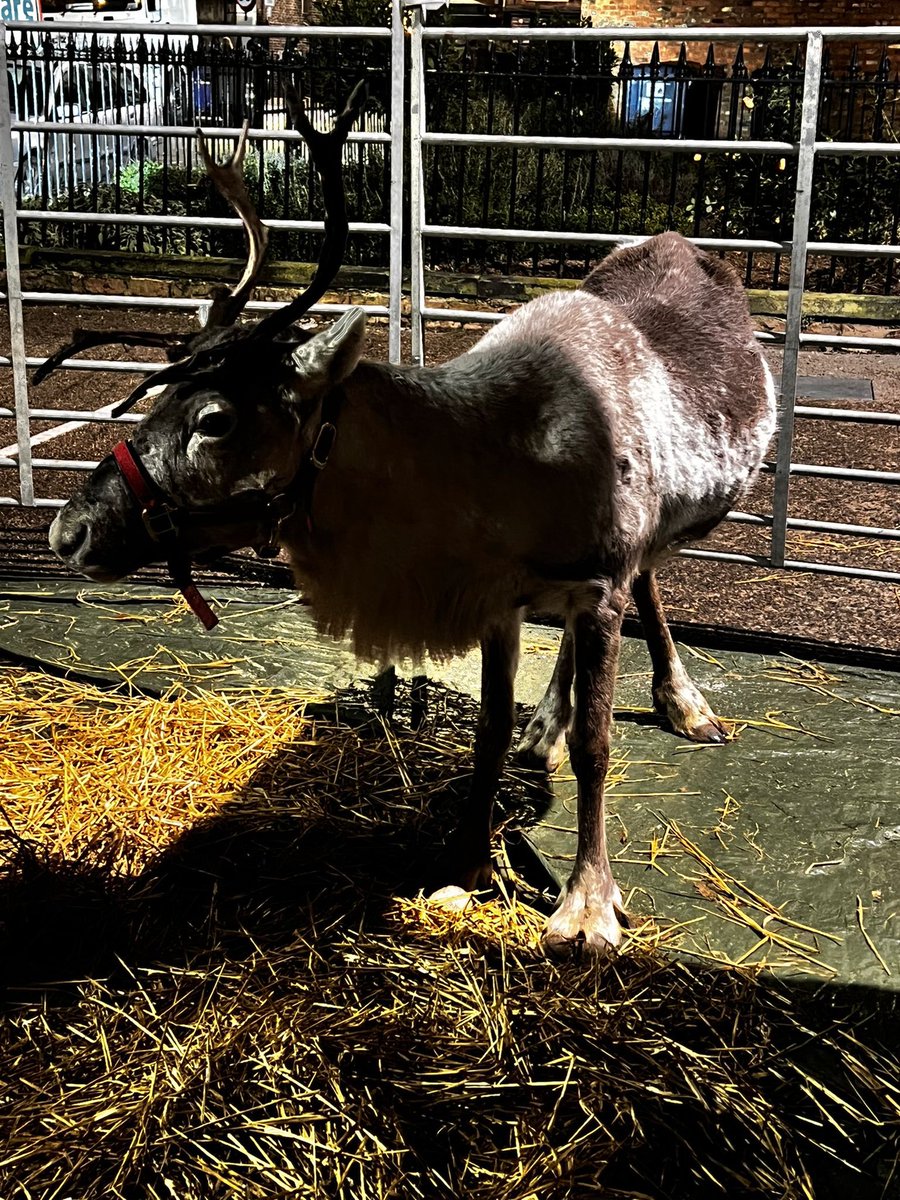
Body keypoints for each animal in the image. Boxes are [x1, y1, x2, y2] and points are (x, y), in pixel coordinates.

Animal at [45, 82, 776, 958]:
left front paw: (588, 906)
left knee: (652, 582)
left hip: (656, 526)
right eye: (158, 395)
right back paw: (546, 723)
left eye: (215, 418)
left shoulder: (598, 577)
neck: (491, 469)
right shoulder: (500, 597)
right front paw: (462, 864)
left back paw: (684, 704)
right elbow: (486, 732)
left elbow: (599, 745)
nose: (69, 531)